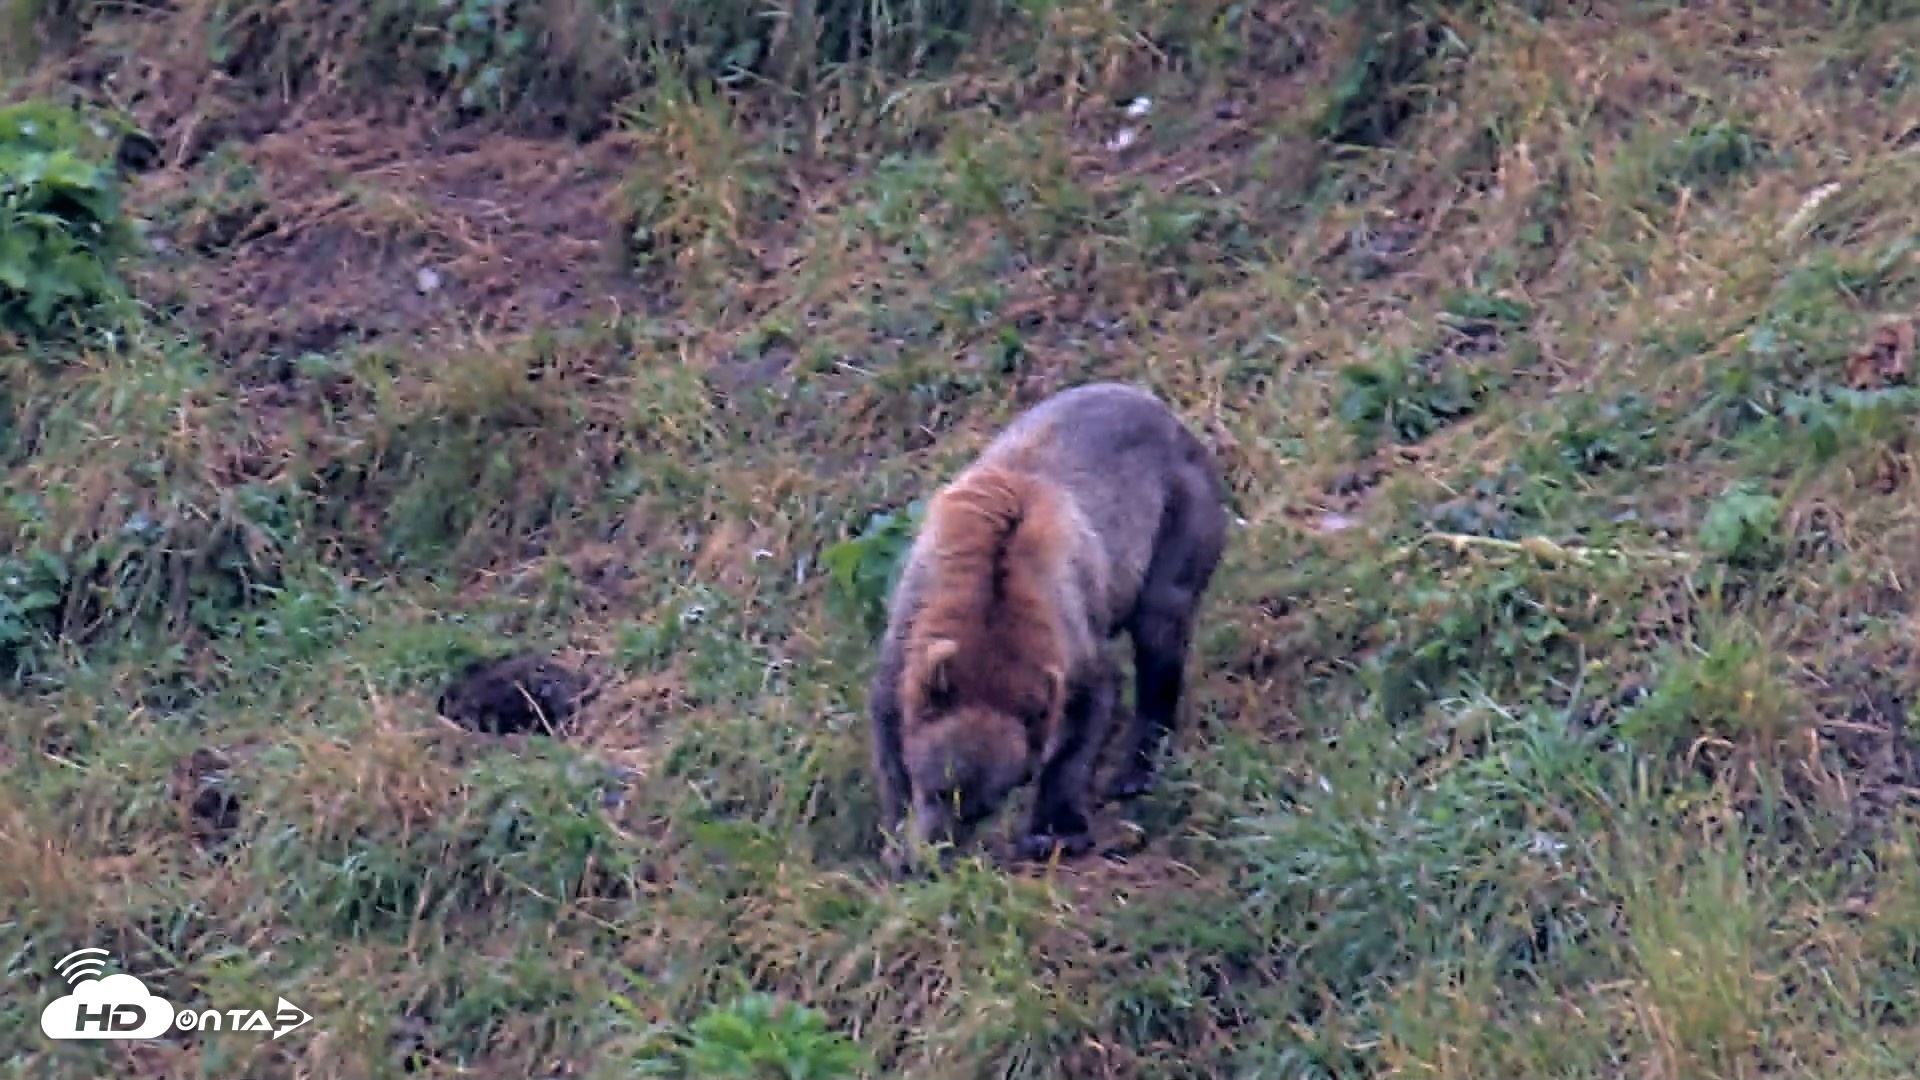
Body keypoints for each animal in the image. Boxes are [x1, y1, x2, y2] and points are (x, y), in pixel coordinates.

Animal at [866, 381, 1230, 871]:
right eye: (940, 788)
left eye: (985, 804)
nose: (938, 855)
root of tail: (1165, 412)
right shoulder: (910, 621)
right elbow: (888, 722)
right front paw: (897, 837)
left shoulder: (1069, 631)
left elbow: (1085, 713)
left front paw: (1055, 830)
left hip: (1179, 515)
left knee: (1161, 629)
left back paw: (1135, 769)